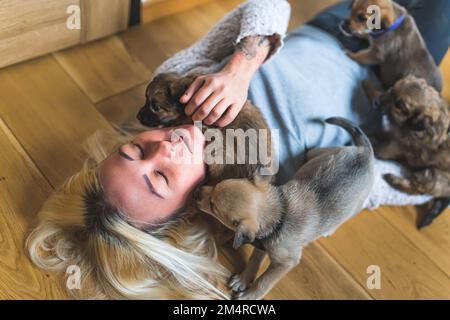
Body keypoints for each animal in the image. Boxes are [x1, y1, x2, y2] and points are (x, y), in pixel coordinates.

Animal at [195, 117, 374, 300]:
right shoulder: (263, 243)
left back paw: (330, 230)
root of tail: (365, 152)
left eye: (213, 206)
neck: (281, 211)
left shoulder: (285, 263)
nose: (197, 191)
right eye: (216, 185)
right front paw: (244, 279)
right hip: (321, 153)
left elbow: (264, 282)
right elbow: (254, 260)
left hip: (356, 204)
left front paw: (250, 295)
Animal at [364, 75, 448, 228]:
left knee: (416, 189)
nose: (376, 102)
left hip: (432, 175)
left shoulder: (392, 147)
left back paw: (394, 179)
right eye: (391, 89)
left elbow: (375, 146)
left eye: (399, 106)